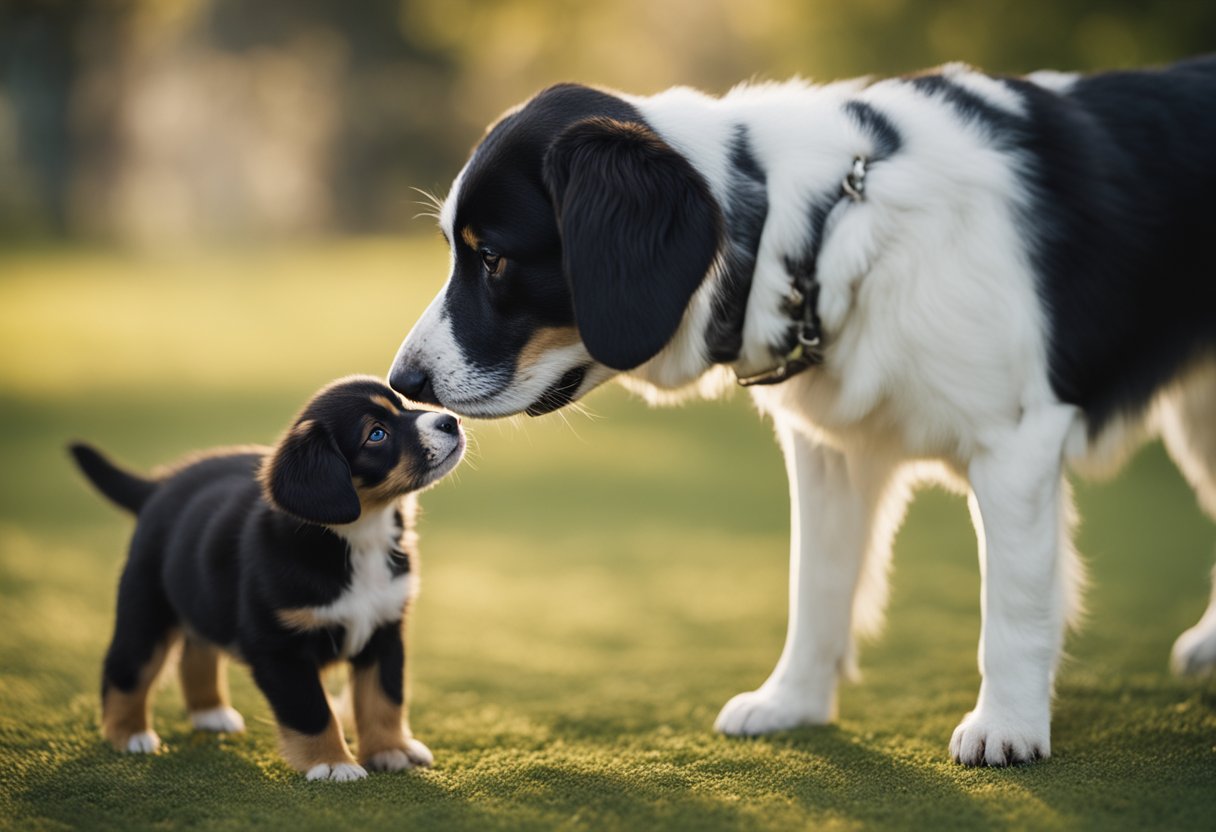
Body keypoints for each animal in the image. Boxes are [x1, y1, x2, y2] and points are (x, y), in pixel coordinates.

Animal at [69, 374, 464, 778]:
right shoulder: (278, 647)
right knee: (127, 666)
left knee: (196, 651)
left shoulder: (384, 630)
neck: (358, 538)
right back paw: (129, 734)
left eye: (403, 404)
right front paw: (333, 763)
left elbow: (383, 698)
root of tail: (160, 485)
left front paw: (390, 750)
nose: (450, 422)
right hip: (147, 604)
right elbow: (312, 711)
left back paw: (210, 713)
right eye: (377, 434)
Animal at [389, 55, 1216, 763]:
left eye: (491, 257)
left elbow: (1012, 605)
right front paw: (794, 703)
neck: (819, 231)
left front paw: (1007, 726)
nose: (404, 380)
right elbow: (816, 585)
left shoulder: (1014, 444)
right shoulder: (831, 455)